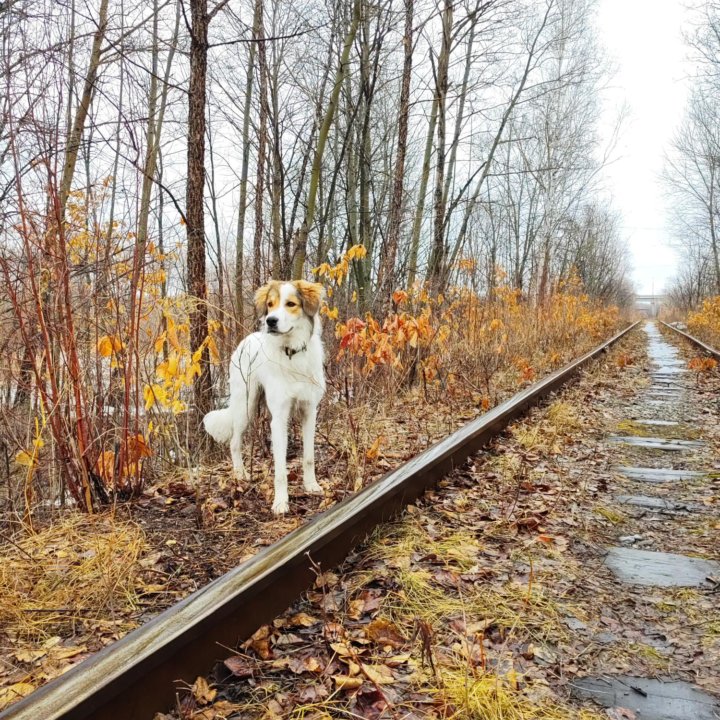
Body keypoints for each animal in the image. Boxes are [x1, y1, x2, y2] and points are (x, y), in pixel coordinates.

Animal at [202, 280, 326, 512]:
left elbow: (309, 457)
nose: (270, 321)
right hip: (246, 406)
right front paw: (281, 502)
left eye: (291, 304)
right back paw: (240, 474)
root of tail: (248, 338)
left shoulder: (309, 411)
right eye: (270, 304)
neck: (291, 353)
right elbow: (280, 470)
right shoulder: (279, 418)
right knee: (234, 442)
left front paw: (311, 485)